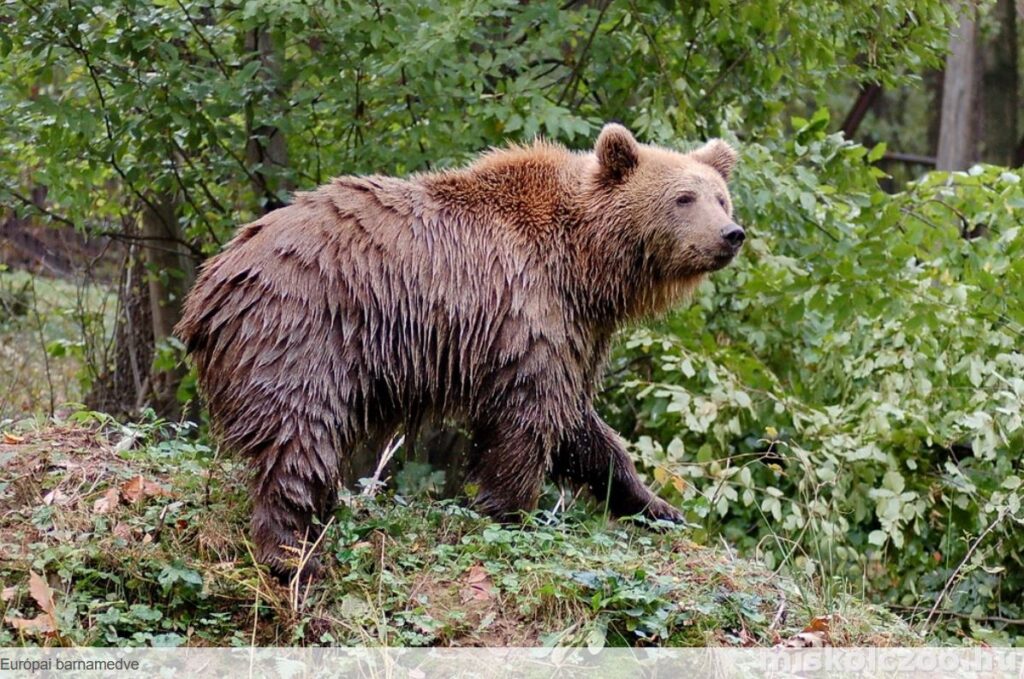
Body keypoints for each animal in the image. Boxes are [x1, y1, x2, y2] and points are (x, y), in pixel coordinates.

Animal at [176, 124, 745, 577]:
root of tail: (210, 284)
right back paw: (292, 555)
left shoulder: (574, 329)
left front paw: (658, 506)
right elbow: (529, 416)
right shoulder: (525, 309)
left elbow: (581, 429)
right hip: (301, 329)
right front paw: (509, 512)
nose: (731, 234)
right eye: (683, 198)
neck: (586, 265)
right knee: (299, 433)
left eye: (721, 197)